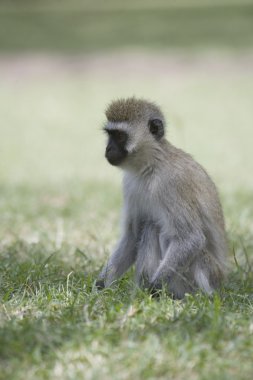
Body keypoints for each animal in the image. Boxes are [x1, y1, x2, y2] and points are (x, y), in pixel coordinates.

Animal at [96, 98, 227, 300]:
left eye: (119, 136)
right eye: (109, 135)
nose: (108, 148)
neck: (152, 165)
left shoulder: (172, 183)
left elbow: (191, 238)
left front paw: (153, 287)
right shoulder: (130, 185)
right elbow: (132, 236)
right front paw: (101, 286)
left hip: (203, 277)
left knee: (158, 229)